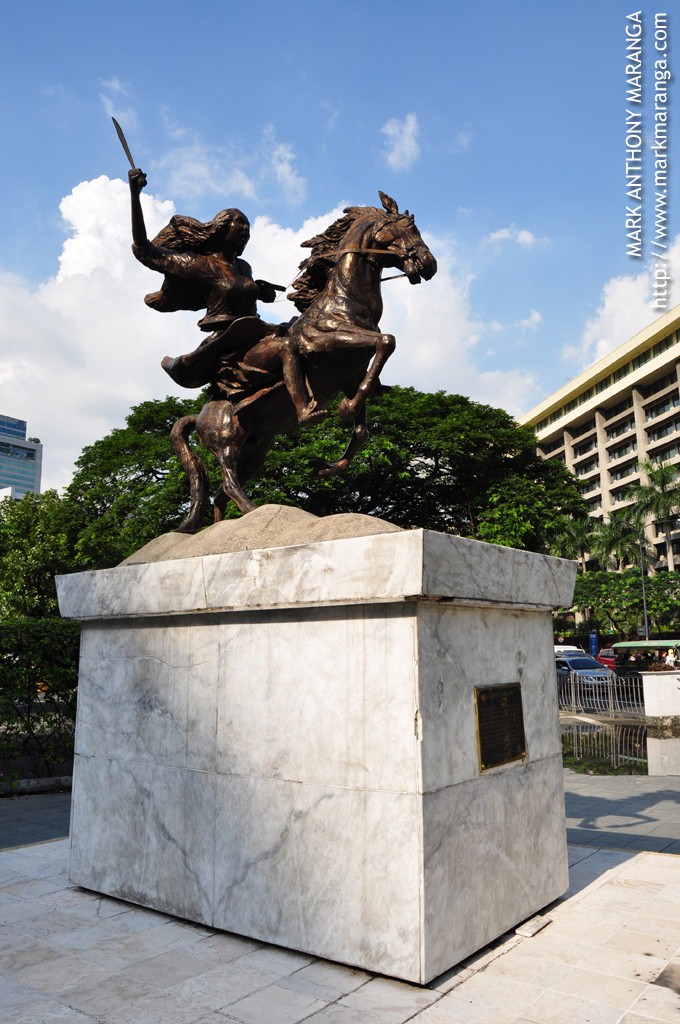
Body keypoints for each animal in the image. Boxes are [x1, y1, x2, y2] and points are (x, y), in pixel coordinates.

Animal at [166, 192, 438, 532]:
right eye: (408, 227)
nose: (429, 265)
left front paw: (327, 467)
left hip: (257, 446)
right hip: (226, 439)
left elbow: (362, 429)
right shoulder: (324, 342)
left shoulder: (351, 376)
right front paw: (341, 410)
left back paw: (225, 526)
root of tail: (202, 414)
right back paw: (255, 510)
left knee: (220, 494)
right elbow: (387, 341)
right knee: (228, 481)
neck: (345, 303)